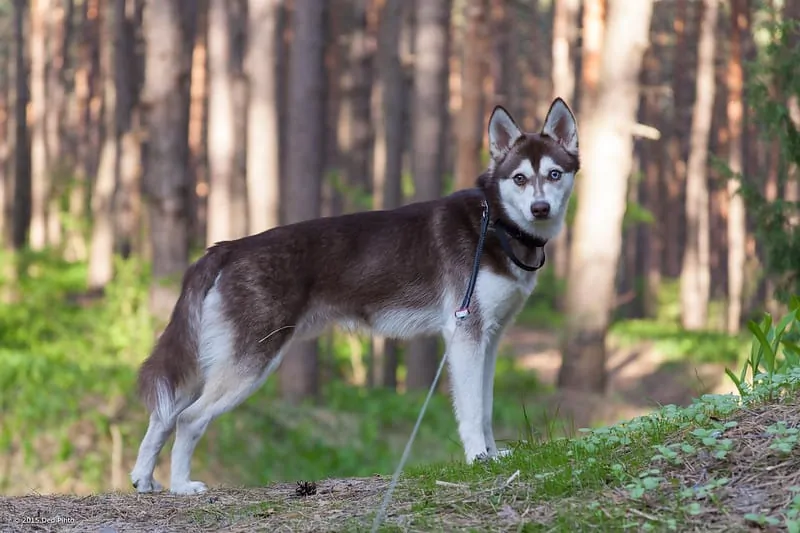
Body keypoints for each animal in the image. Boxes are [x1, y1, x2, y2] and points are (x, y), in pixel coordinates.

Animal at [128, 96, 580, 494]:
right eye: (520, 178)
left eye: (554, 174)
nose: (540, 209)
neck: (495, 224)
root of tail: (228, 247)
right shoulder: (465, 336)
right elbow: (470, 411)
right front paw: (477, 459)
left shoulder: (489, 339)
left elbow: (484, 408)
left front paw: (493, 456)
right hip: (248, 363)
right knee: (189, 419)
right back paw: (182, 485)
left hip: (214, 360)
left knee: (164, 416)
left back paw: (144, 479)